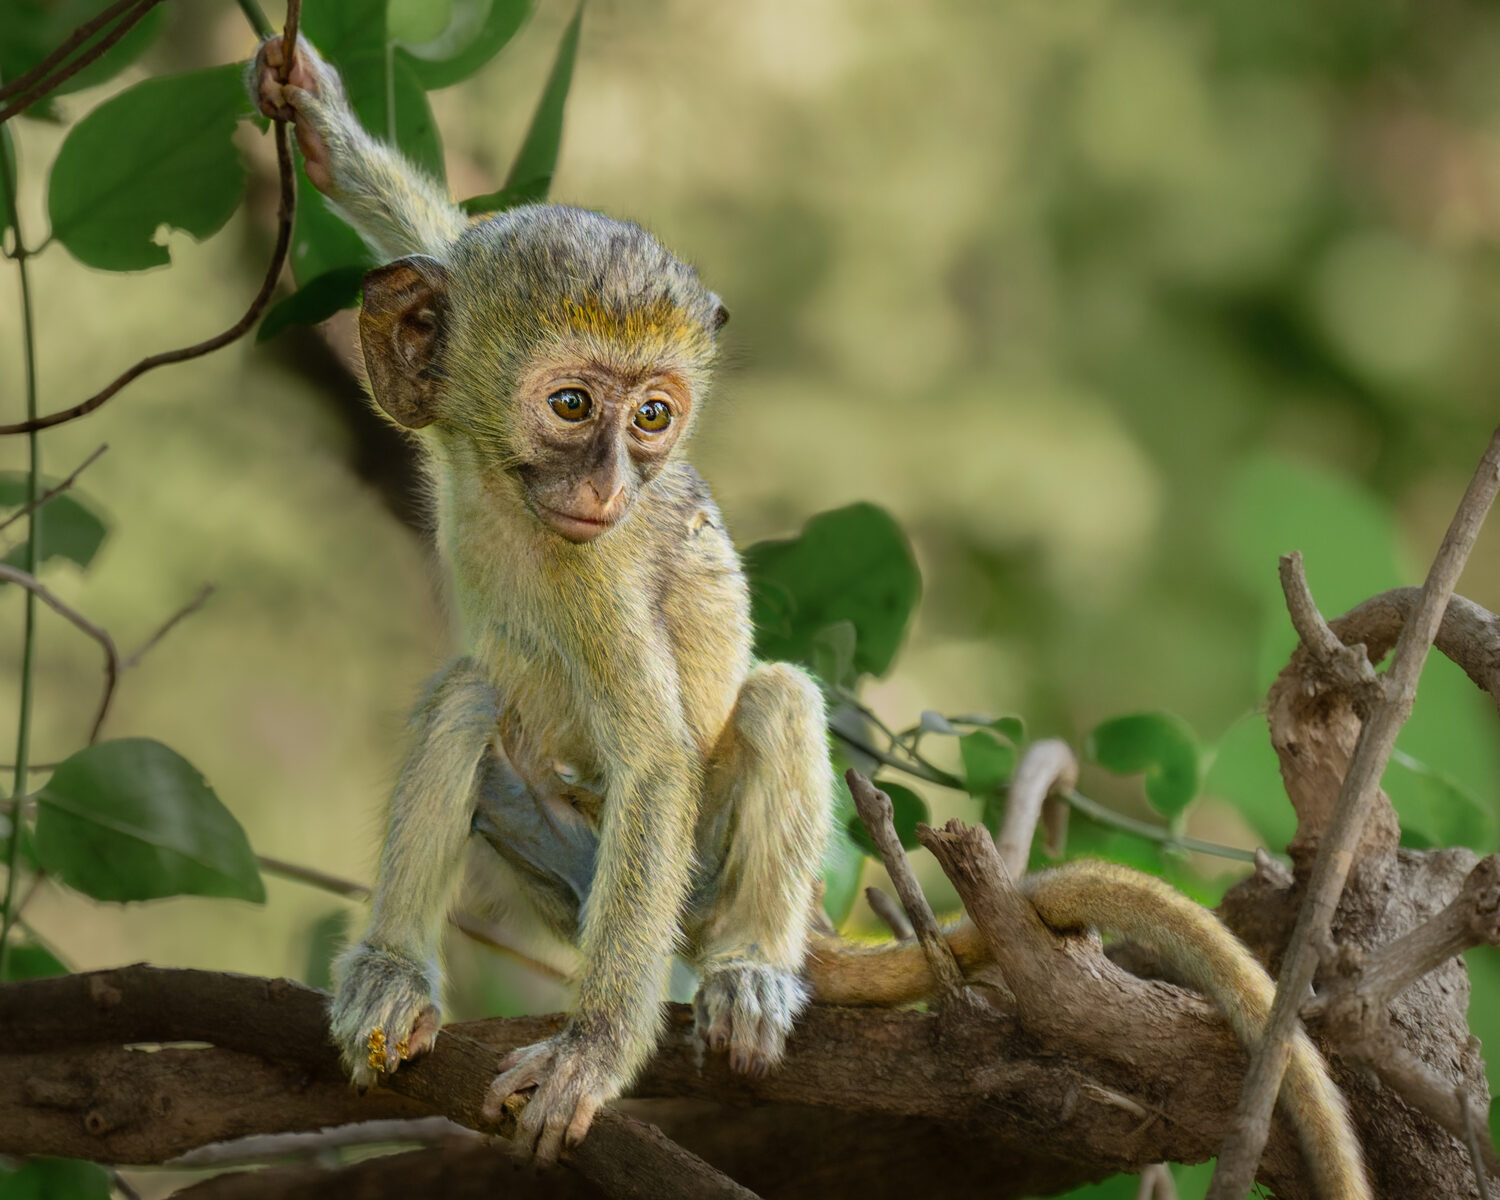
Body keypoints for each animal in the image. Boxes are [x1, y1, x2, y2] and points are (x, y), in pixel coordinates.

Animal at [250, 35, 1369, 1195]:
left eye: (652, 416)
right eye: (572, 405)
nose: (608, 483)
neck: (512, 502)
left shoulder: (596, 572)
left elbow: (657, 760)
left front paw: (595, 1052)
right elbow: (431, 230)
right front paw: (317, 118)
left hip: (688, 877)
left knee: (779, 697)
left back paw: (750, 967)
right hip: (566, 866)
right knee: (468, 694)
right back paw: (395, 974)